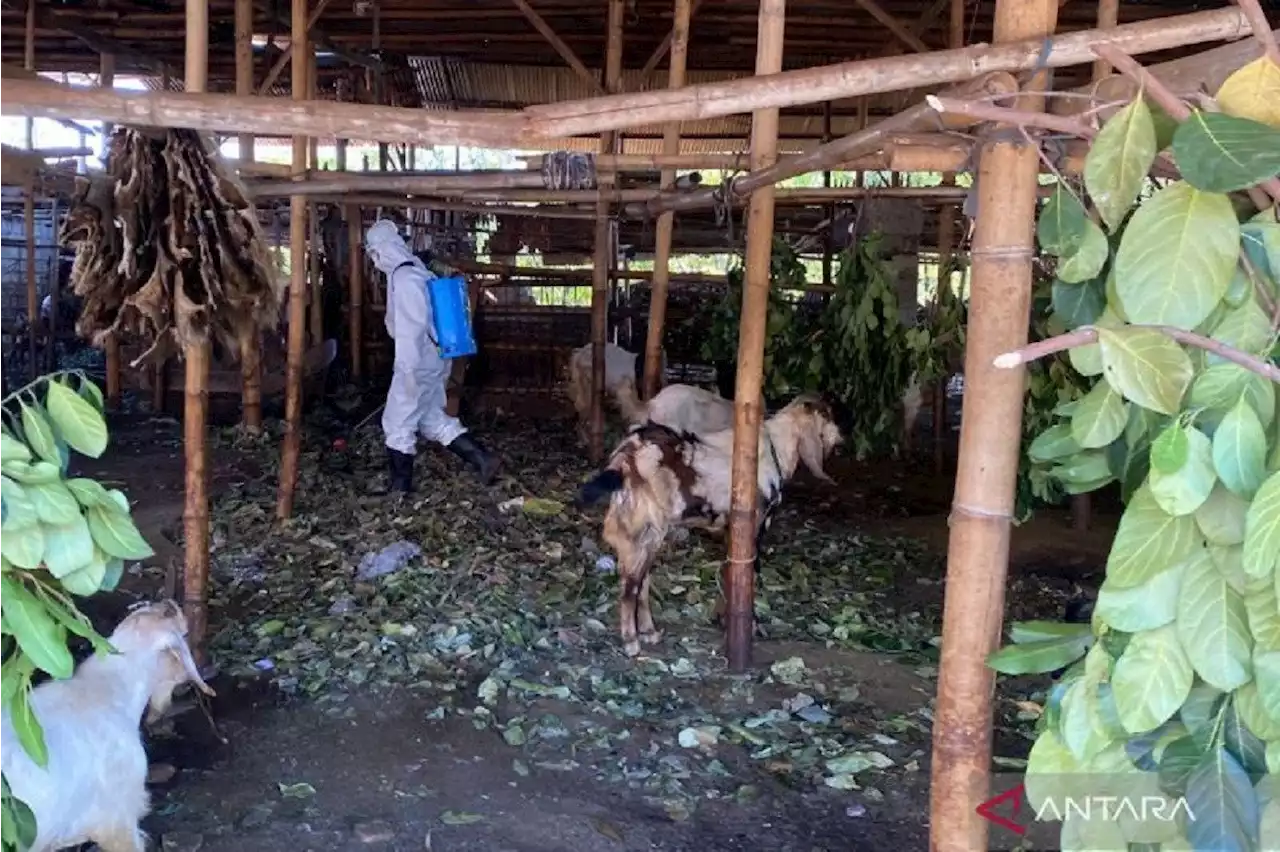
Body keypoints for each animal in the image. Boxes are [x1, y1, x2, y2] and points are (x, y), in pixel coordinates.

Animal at [578, 394, 839, 652]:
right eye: (828, 416)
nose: (841, 437)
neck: (775, 448)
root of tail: (627, 455)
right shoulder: (756, 526)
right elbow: (751, 575)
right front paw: (752, 626)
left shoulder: (730, 530)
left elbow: (728, 572)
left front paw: (723, 620)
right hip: (646, 528)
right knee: (631, 584)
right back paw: (631, 642)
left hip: (637, 532)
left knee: (641, 580)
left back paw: (650, 632)